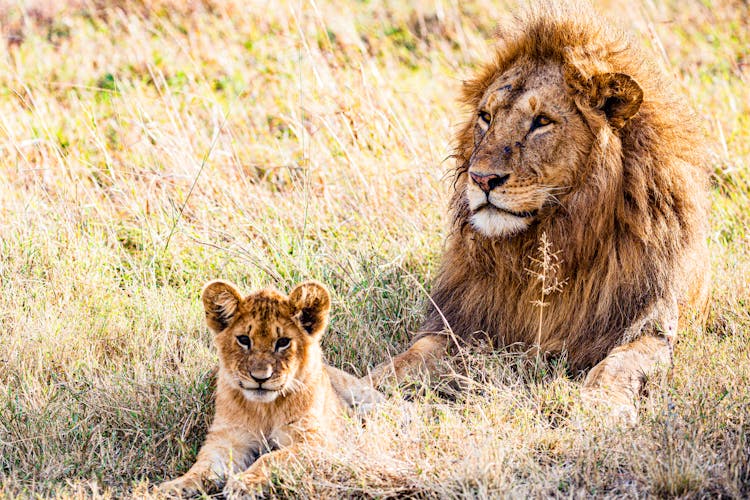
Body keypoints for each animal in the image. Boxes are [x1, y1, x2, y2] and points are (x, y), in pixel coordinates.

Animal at [370, 1, 712, 420]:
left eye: (542, 122)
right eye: (486, 117)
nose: (481, 178)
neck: (547, 245)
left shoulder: (649, 323)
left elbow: (620, 364)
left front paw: (599, 405)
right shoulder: (461, 321)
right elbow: (411, 356)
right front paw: (364, 384)